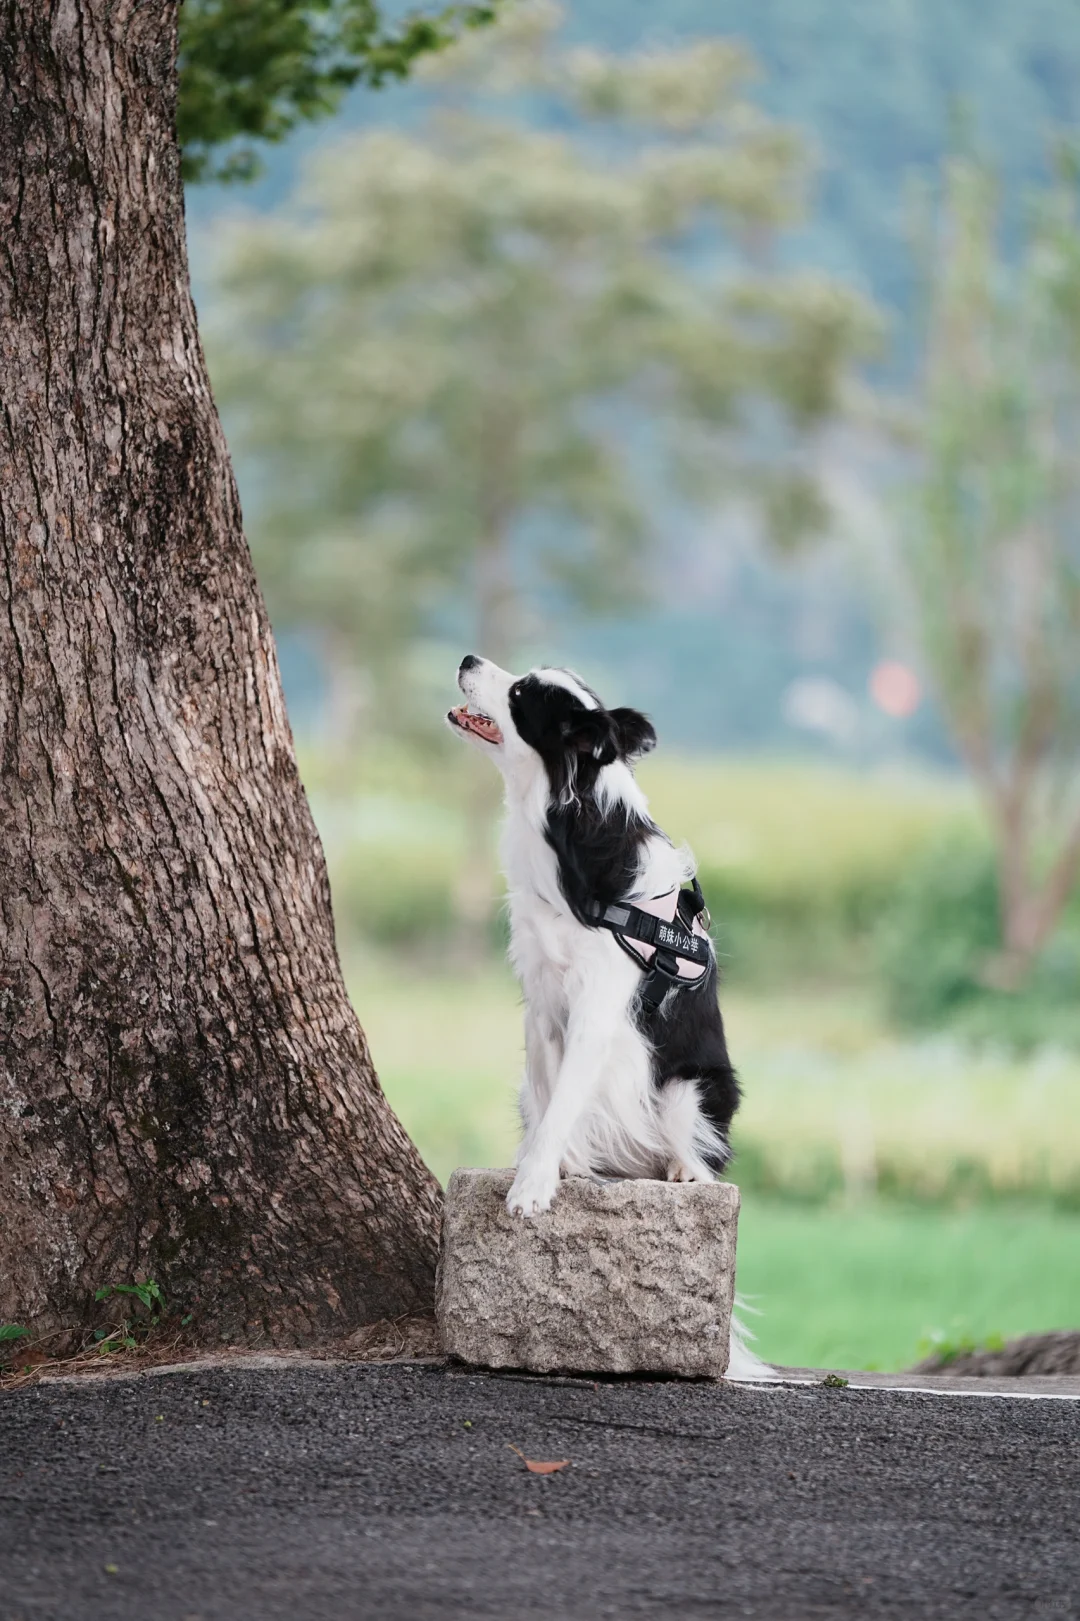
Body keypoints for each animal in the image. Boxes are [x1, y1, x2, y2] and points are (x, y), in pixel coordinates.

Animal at [444, 651, 739, 1212]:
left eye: (519, 694)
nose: (468, 659)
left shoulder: (597, 1008)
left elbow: (563, 1102)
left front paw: (533, 1188)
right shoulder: (541, 1003)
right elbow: (548, 1095)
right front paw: (557, 1167)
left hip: (691, 1089)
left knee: (702, 1156)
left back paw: (684, 1171)